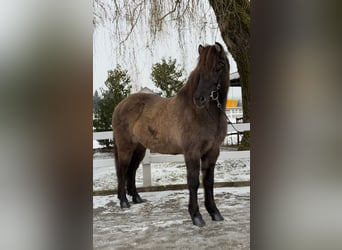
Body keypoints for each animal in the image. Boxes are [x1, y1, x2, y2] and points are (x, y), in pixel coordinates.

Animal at [112, 42, 230, 227]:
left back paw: (137, 198)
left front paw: (214, 212)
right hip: (125, 148)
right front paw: (196, 216)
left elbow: (208, 182)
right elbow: (193, 182)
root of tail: (119, 106)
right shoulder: (192, 153)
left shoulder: (212, 152)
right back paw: (124, 202)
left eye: (218, 67)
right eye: (200, 70)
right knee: (122, 171)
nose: (199, 99)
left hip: (139, 149)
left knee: (131, 171)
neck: (202, 113)